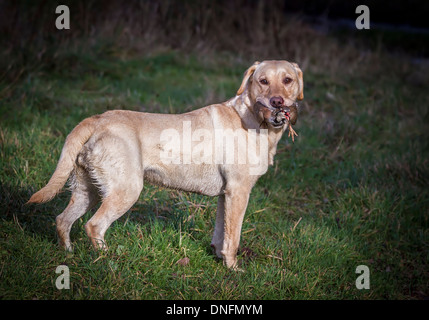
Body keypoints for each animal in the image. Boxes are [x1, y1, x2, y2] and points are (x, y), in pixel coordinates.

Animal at [27, 58, 300, 268]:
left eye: (288, 80)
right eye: (263, 81)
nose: (277, 102)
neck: (253, 118)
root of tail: (97, 119)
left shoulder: (227, 195)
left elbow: (221, 233)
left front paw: (217, 257)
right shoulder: (239, 192)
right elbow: (233, 238)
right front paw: (232, 269)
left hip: (89, 190)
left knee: (63, 220)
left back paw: (68, 254)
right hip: (126, 190)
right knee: (94, 226)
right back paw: (110, 259)